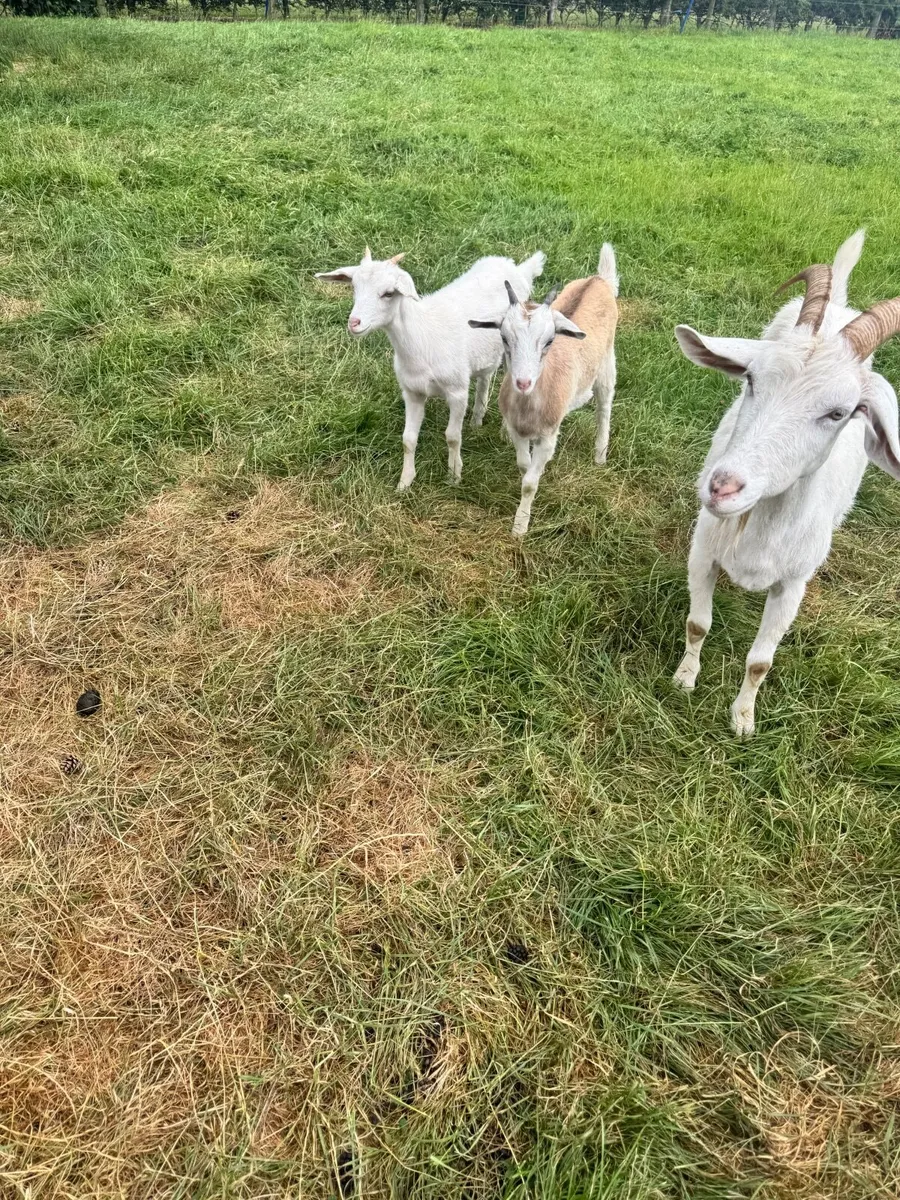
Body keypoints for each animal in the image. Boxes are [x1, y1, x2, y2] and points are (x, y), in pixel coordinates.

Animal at [315, 248, 545, 491]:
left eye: (388, 293)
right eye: (354, 287)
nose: (354, 323)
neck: (420, 337)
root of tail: (517, 268)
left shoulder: (457, 391)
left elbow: (452, 436)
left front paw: (454, 476)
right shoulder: (412, 392)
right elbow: (408, 439)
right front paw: (405, 482)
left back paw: (505, 432)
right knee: (485, 377)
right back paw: (476, 420)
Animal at [468, 245, 619, 536]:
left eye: (550, 340)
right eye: (504, 337)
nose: (523, 382)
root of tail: (599, 280)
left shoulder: (549, 435)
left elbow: (530, 482)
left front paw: (519, 527)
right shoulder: (519, 430)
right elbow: (525, 467)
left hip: (607, 364)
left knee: (604, 407)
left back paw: (600, 456)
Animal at [673, 229, 900, 735]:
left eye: (839, 413)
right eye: (751, 380)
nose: (722, 487)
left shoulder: (793, 584)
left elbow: (760, 661)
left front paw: (743, 719)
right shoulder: (702, 549)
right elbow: (698, 624)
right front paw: (684, 679)